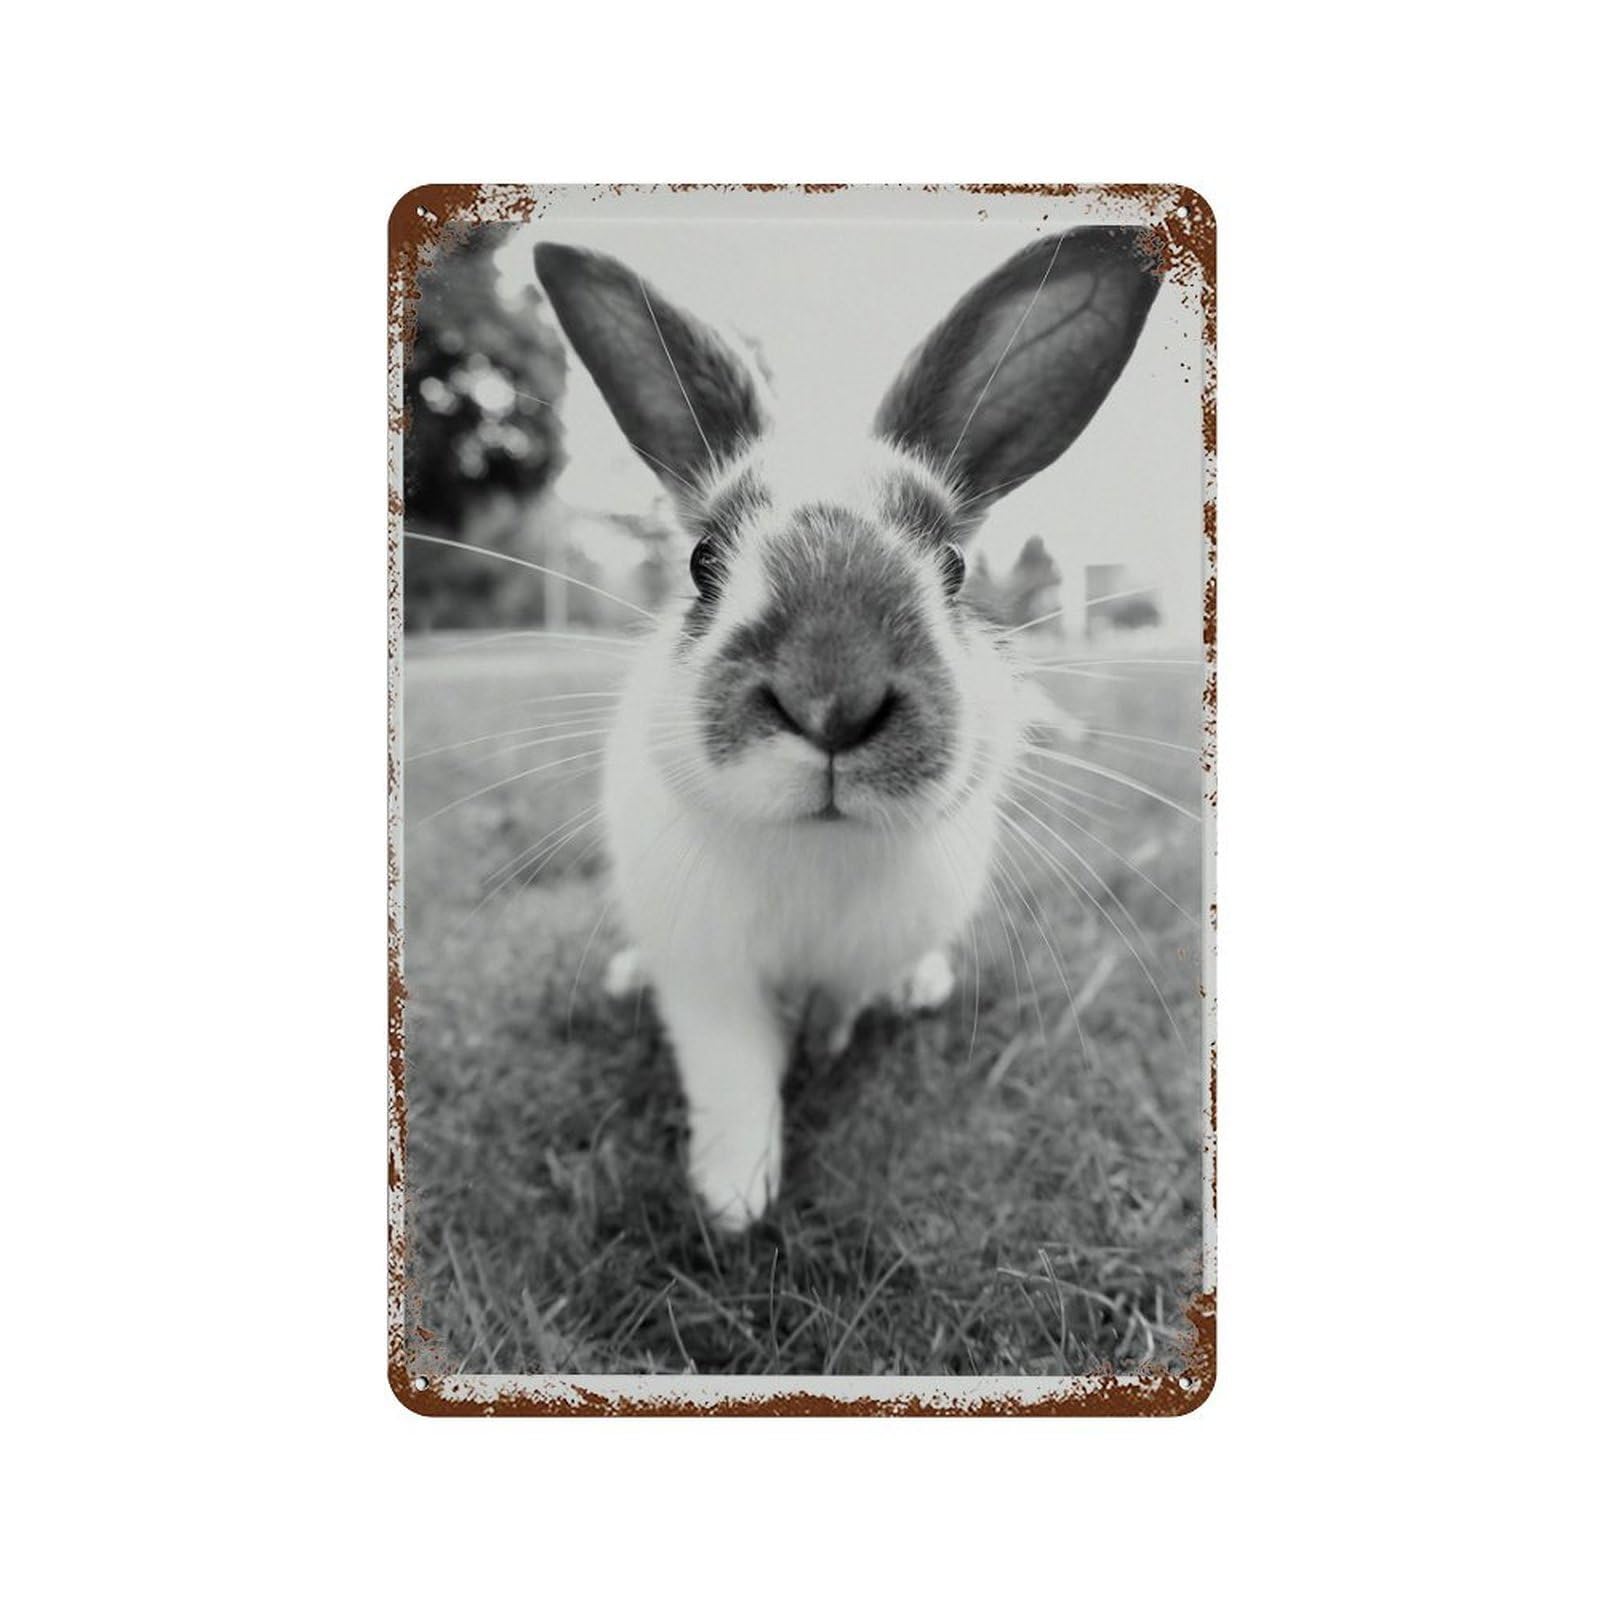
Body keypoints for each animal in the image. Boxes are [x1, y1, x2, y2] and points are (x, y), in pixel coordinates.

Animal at [533, 226, 1163, 1231]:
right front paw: (734, 1200)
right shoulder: (708, 981)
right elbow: (735, 1079)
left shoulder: (862, 955)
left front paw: (824, 1049)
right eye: (703, 562)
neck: (816, 849)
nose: (832, 698)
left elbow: (839, 1007)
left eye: (953, 568)